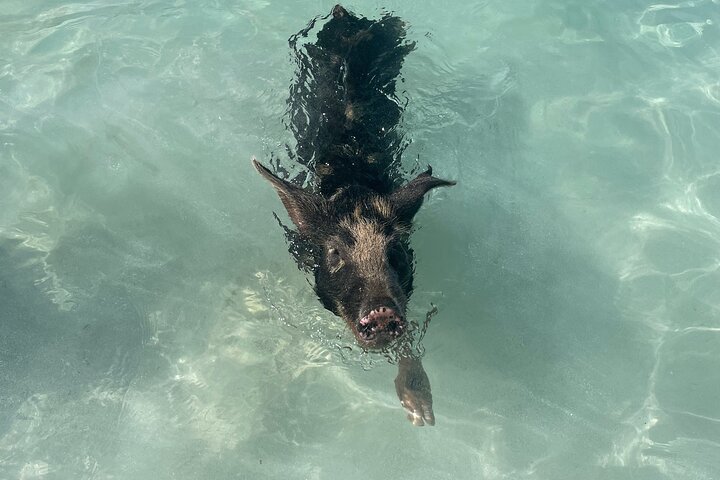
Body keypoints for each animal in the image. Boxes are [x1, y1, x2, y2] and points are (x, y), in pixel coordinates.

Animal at [253, 4, 454, 426]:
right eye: (334, 253)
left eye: (395, 250)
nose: (380, 311)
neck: (355, 193)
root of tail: (345, 14)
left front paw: (421, 415)